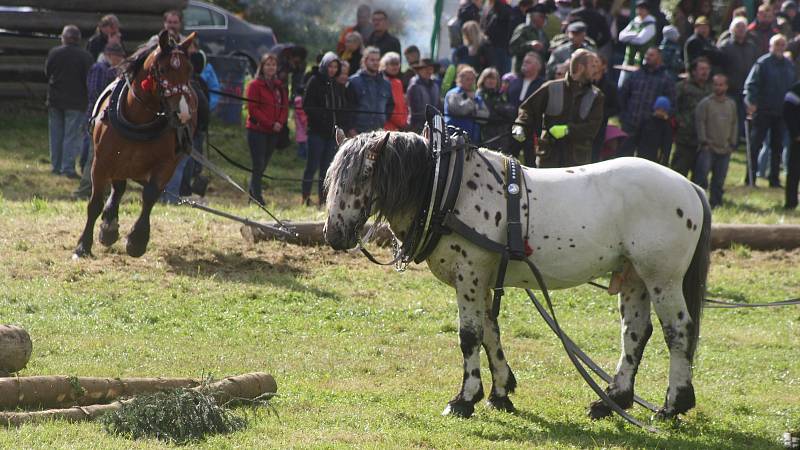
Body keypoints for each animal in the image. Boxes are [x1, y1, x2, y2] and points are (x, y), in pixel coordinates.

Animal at [74, 29, 198, 258]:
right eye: (163, 69)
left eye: (189, 69)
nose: (183, 113)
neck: (138, 119)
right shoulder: (101, 162)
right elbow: (95, 203)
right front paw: (83, 245)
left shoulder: (166, 164)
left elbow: (149, 195)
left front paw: (137, 240)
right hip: (119, 162)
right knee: (118, 188)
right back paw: (109, 226)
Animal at [324, 118, 712, 424]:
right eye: (331, 179)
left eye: (365, 175)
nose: (334, 234)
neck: (445, 186)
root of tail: (690, 186)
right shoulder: (482, 279)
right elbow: (489, 332)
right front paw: (501, 392)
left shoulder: (470, 273)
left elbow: (470, 336)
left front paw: (465, 399)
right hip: (634, 275)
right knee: (635, 332)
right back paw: (612, 401)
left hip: (662, 277)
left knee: (678, 331)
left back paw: (672, 405)